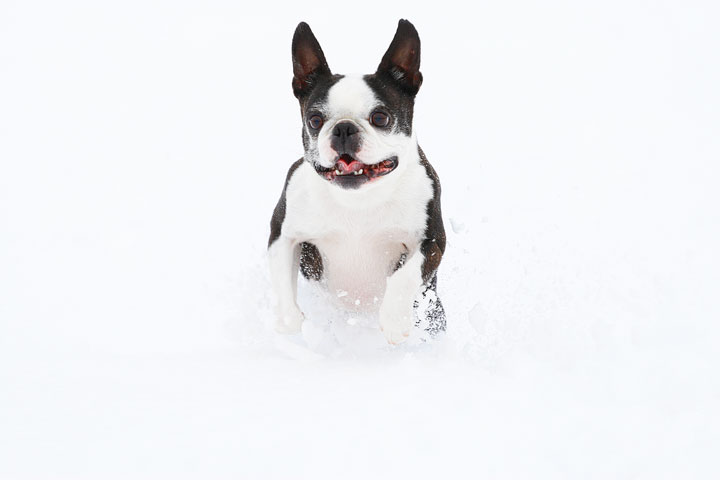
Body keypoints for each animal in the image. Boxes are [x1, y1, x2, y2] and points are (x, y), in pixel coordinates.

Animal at [266, 16, 442, 344]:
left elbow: (405, 275)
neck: (358, 198)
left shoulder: (432, 240)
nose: (344, 128)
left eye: (381, 118)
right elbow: (282, 281)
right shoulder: (282, 233)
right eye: (315, 120)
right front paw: (289, 323)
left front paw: (395, 320)